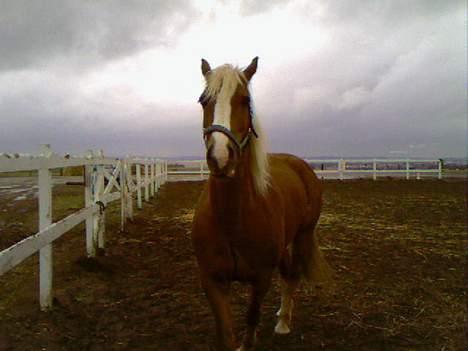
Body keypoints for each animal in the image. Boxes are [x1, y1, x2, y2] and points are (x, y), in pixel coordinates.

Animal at [190, 57, 330, 351]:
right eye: (203, 101)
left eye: (245, 100)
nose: (220, 158)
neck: (232, 220)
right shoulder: (211, 280)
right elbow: (225, 333)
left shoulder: (262, 277)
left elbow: (252, 317)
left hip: (302, 236)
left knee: (292, 275)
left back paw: (284, 322)